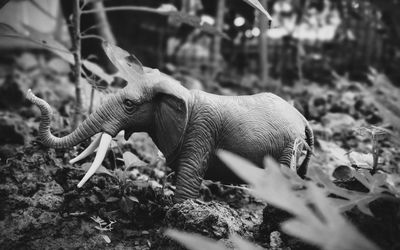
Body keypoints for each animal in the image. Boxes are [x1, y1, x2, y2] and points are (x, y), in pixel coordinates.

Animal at [26, 42, 314, 202]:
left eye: (129, 105)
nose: (29, 93)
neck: (180, 91)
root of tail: (304, 119)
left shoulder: (200, 132)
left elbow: (187, 180)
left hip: (288, 148)